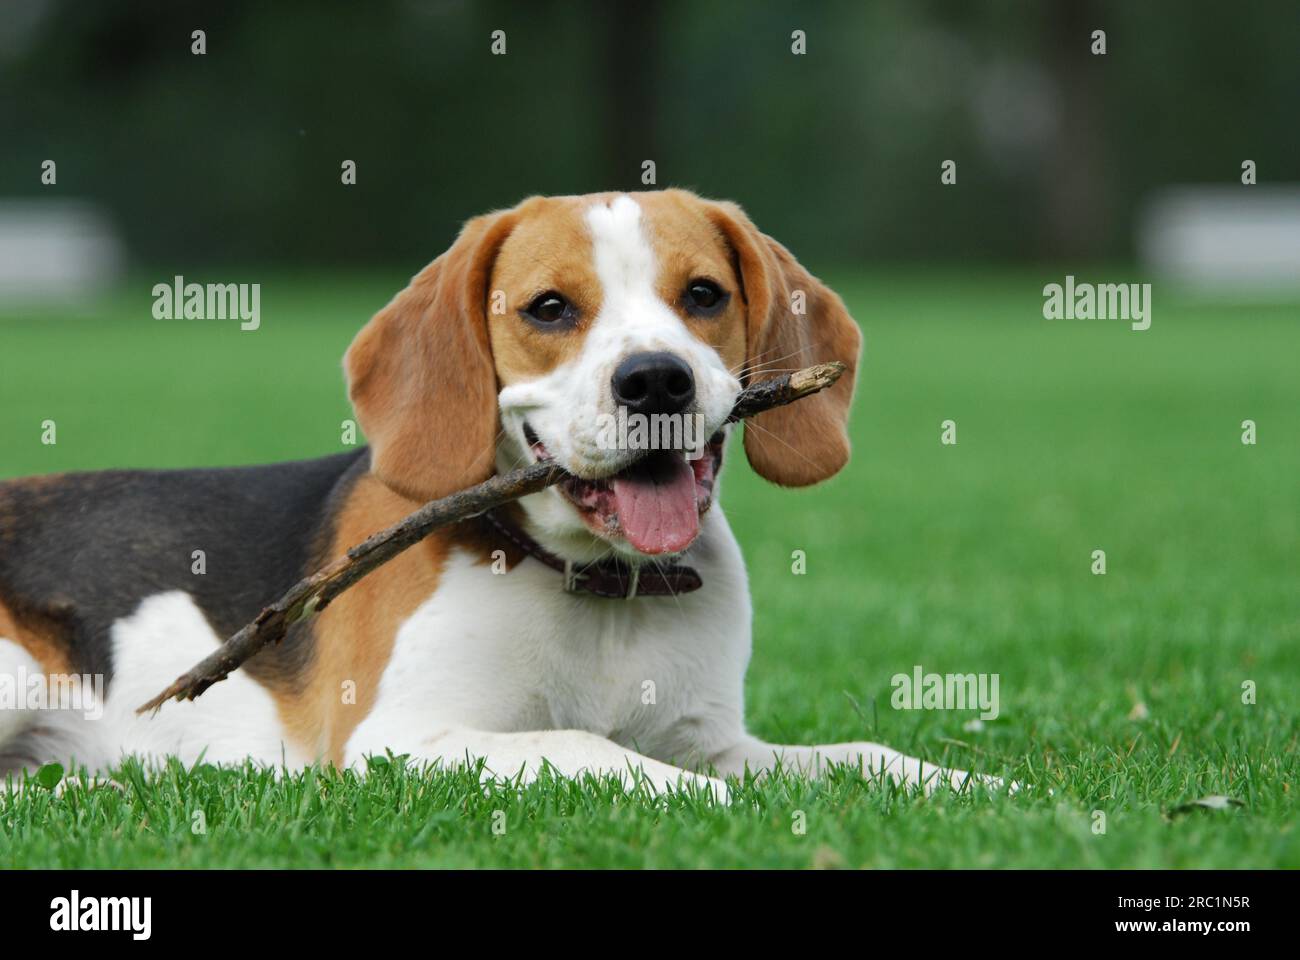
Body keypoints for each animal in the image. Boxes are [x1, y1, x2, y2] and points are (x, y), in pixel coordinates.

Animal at [0, 191, 987, 796]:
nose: (656, 381)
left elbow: (866, 755)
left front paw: (984, 788)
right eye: (550, 309)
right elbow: (594, 747)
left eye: (704, 294)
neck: (603, 591)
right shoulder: (402, 740)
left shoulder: (714, 739)